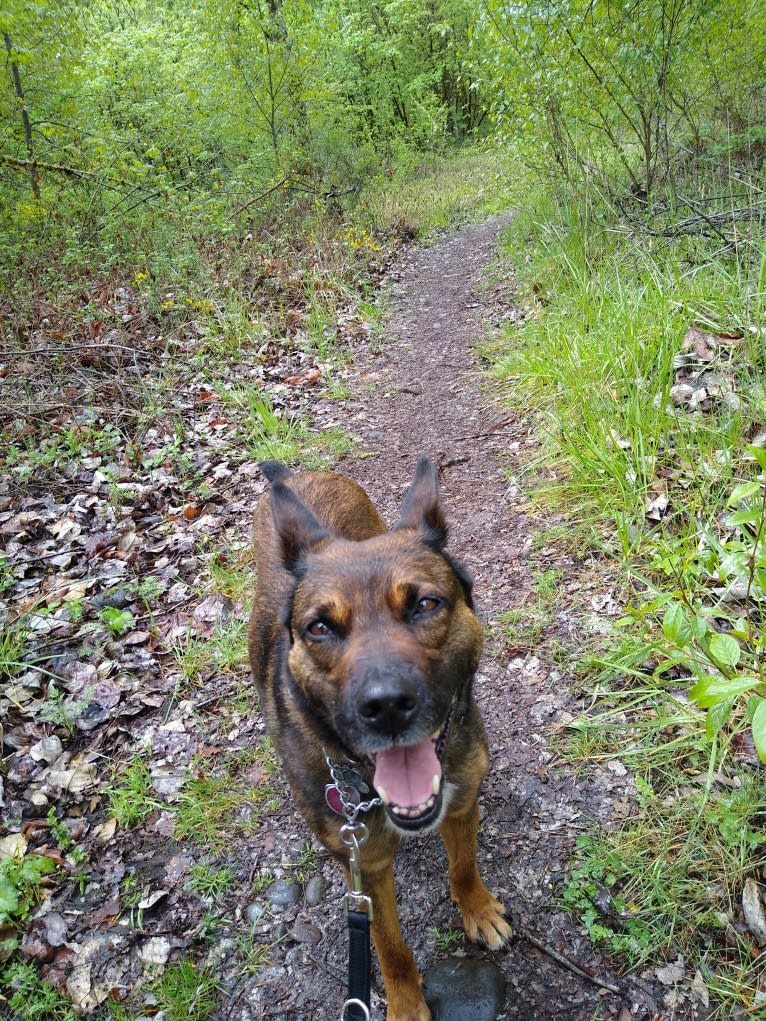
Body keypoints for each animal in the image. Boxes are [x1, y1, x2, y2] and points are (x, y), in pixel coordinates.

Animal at [250, 459, 510, 1016]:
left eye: (426, 604)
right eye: (319, 628)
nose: (385, 706)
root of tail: (296, 474)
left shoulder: (461, 801)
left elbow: (464, 868)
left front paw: (476, 909)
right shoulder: (363, 866)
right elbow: (388, 943)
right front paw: (406, 1003)